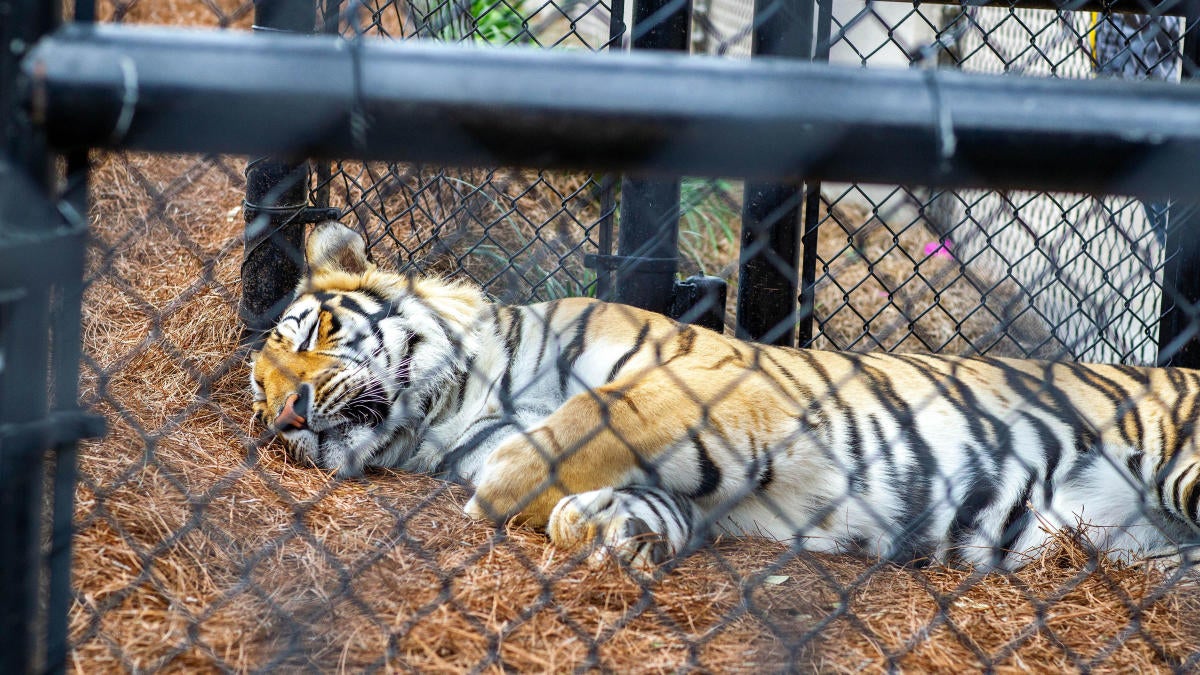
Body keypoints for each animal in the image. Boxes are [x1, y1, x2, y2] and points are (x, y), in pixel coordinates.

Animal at [248, 223, 1200, 569]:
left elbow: (584, 420)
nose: (288, 417)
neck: (462, 404)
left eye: (314, 333)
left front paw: (508, 488)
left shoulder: (709, 384)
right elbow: (614, 499)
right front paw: (611, 531)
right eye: (258, 400)